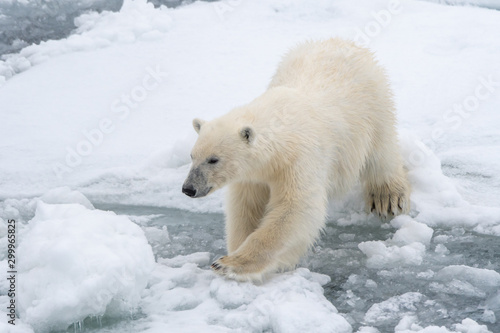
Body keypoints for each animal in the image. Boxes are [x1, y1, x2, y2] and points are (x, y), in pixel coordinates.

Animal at [183, 37, 410, 278]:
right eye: (192, 156)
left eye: (213, 159)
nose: (189, 188)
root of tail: (342, 41)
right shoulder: (252, 175)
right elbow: (246, 207)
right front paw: (234, 251)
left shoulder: (299, 159)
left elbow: (296, 209)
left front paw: (230, 263)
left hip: (372, 104)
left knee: (381, 152)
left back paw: (388, 198)